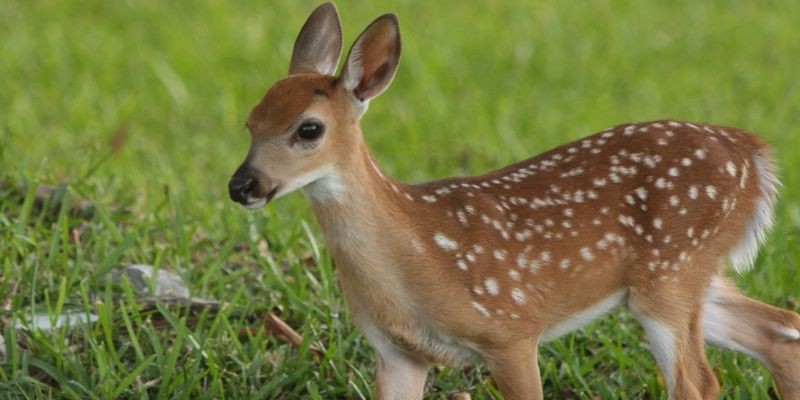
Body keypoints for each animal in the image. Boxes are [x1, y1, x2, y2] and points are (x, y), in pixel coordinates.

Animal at [227, 3, 800, 399]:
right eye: (250, 122)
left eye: (308, 129)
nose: (241, 186)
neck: (413, 257)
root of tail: (754, 154)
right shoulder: (397, 353)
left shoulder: (510, 329)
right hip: (687, 275)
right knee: (779, 330)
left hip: (671, 270)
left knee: (699, 383)